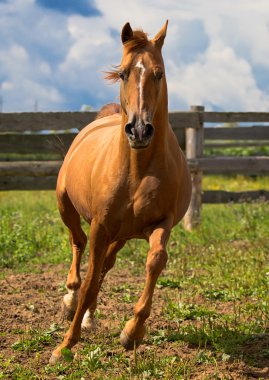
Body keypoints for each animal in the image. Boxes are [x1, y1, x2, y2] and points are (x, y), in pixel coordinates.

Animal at [49, 20, 191, 362]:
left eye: (159, 73)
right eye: (125, 72)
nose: (139, 130)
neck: (137, 169)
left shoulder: (161, 224)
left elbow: (156, 261)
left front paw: (132, 332)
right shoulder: (100, 224)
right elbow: (89, 279)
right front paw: (65, 345)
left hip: (123, 233)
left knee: (105, 265)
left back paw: (89, 316)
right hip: (67, 207)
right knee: (78, 245)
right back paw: (71, 301)